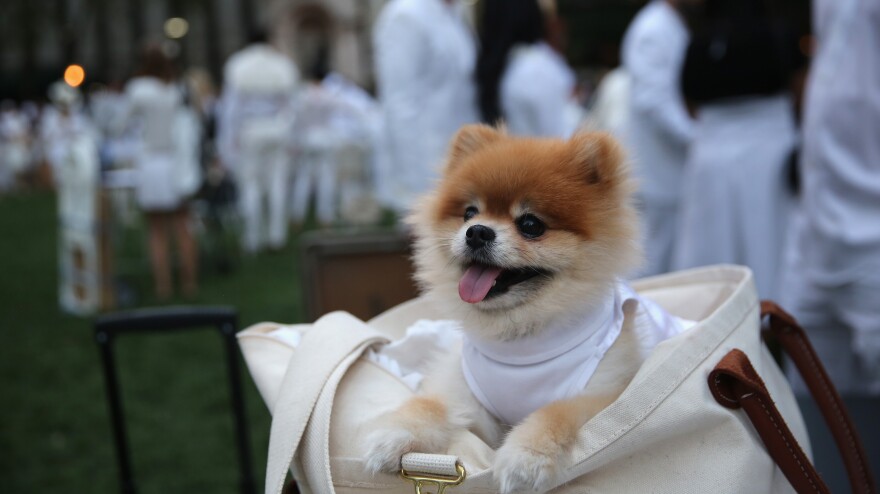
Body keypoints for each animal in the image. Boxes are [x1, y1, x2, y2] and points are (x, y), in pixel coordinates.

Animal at [362, 125, 688, 492]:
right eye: (469, 213)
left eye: (531, 225)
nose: (477, 232)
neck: (520, 340)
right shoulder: (466, 393)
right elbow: (431, 404)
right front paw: (394, 434)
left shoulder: (608, 391)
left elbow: (555, 412)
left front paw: (526, 458)